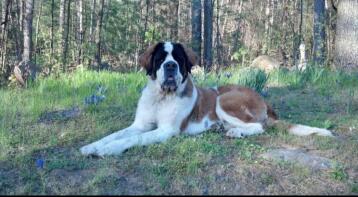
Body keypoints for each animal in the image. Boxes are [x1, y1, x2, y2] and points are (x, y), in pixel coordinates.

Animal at [80, 41, 332, 157]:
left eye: (178, 59)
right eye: (161, 58)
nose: (170, 66)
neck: (162, 97)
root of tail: (263, 99)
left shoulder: (166, 130)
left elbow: (134, 139)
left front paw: (108, 150)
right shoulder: (140, 124)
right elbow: (118, 134)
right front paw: (93, 145)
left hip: (225, 100)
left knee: (259, 126)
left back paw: (235, 131)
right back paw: (223, 129)